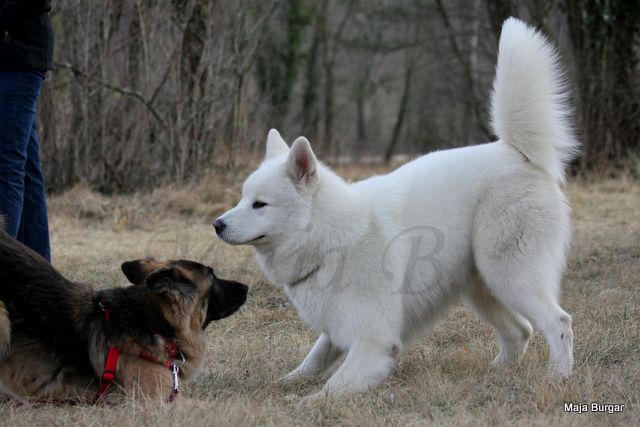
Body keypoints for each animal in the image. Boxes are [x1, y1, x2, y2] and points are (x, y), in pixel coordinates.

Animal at [218, 17, 576, 398]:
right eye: (242, 199)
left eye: (260, 204)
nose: (217, 224)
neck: (332, 239)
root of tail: (516, 152)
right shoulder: (339, 330)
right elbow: (312, 360)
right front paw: (282, 385)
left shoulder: (374, 342)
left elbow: (331, 388)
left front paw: (305, 401)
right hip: (480, 287)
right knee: (520, 332)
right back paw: (495, 376)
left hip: (509, 275)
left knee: (558, 323)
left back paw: (558, 377)